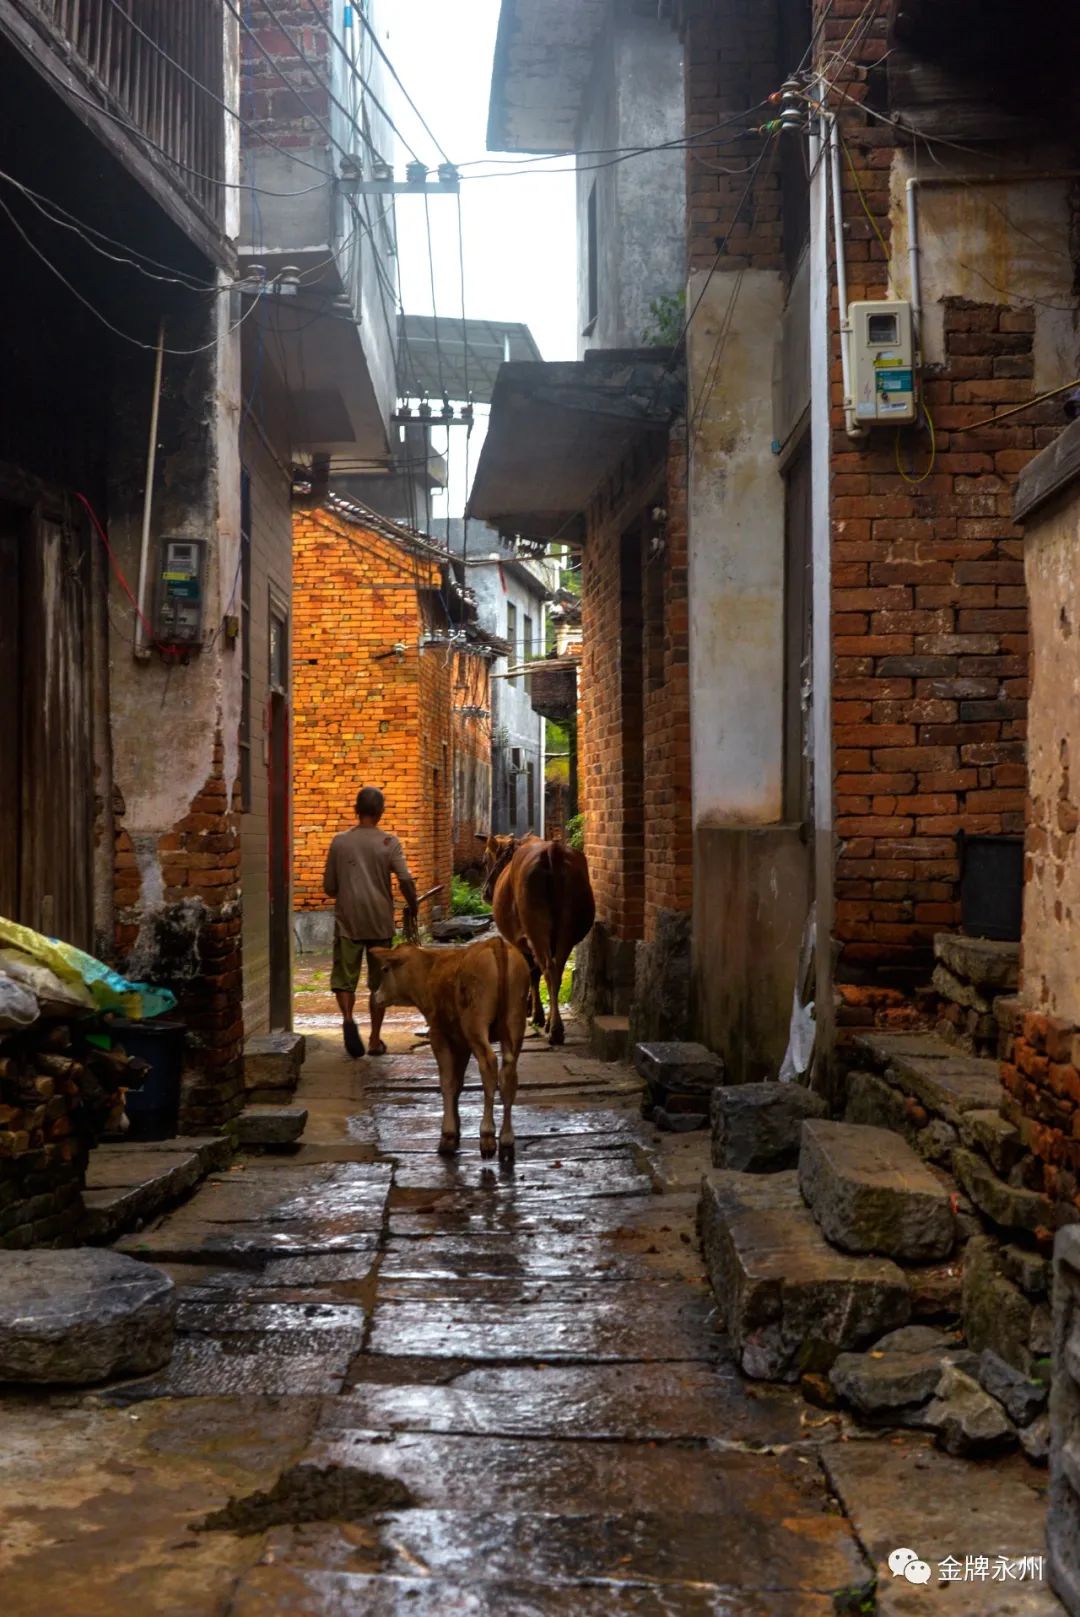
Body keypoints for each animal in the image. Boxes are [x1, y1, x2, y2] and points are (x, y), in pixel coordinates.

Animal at [368, 937, 530, 1164]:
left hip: (475, 1022)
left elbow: (447, 1082)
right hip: (515, 1020)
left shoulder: (439, 1034)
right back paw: (507, 1142)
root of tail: (495, 942)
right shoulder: (460, 1040)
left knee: (489, 1064)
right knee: (508, 1072)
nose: (376, 996)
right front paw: (456, 1129)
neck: (428, 971)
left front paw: (448, 1135)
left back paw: (487, 1137)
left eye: (385, 969)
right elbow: (458, 1082)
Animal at [481, 834, 598, 1047]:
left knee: (547, 969)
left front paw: (535, 1013)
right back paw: (554, 1024)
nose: (485, 892)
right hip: (566, 930)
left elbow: (531, 972)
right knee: (556, 970)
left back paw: (554, 1029)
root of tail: (552, 852)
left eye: (485, 860)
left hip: (536, 930)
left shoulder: (520, 940)